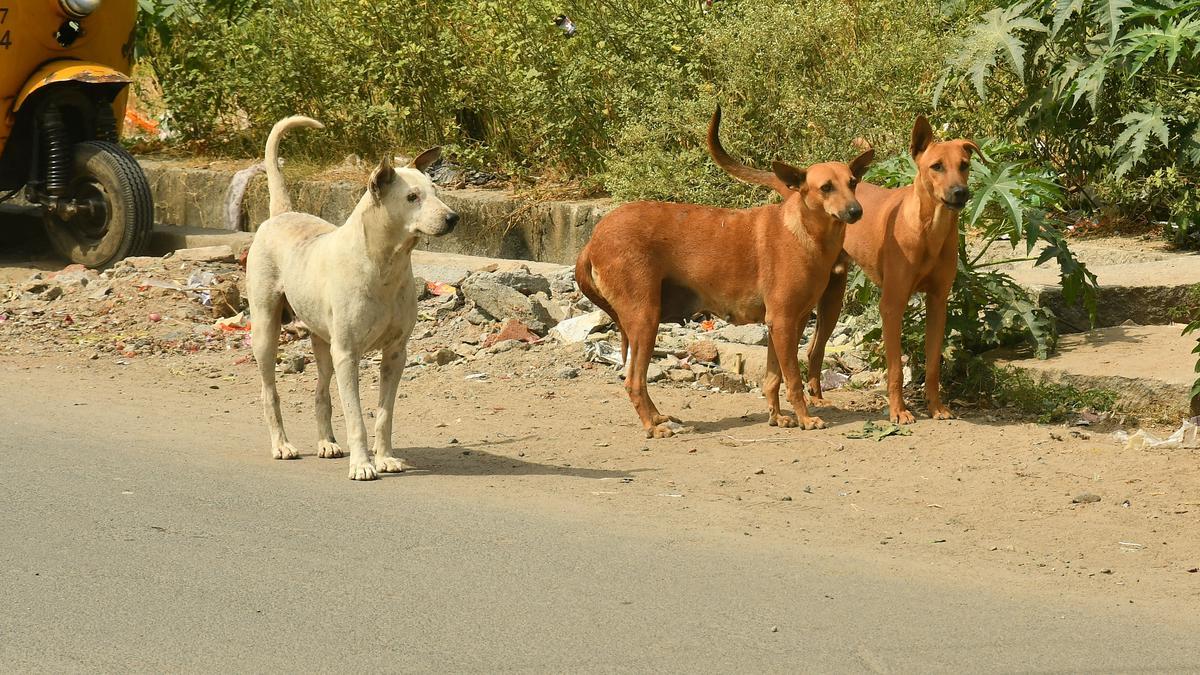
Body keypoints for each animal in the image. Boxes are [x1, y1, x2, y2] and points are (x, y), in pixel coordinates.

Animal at [246, 118, 456, 480]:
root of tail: (281, 214)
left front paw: (385, 457)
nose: (453, 217)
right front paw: (362, 464)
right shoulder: (347, 354)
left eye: (436, 193)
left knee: (321, 392)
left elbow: (384, 414)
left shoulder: (396, 353)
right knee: (269, 391)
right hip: (266, 331)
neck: (384, 264)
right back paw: (282, 445)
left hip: (322, 342)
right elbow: (356, 416)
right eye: (412, 197)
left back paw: (327, 442)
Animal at [573, 106, 873, 437]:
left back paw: (657, 418)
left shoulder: (784, 325)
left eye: (853, 183)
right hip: (644, 318)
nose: (857, 211)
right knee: (634, 381)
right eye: (826, 188)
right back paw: (652, 426)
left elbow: (773, 378)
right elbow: (793, 380)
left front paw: (778, 417)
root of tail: (593, 240)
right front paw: (806, 419)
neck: (805, 232)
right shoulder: (783, 322)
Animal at [801, 115, 979, 420]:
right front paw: (898, 411)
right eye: (937, 166)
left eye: (964, 165)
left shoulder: (938, 303)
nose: (960, 192)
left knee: (815, 348)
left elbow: (933, 365)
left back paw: (817, 397)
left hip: (832, 300)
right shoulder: (892, 306)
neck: (930, 229)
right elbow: (895, 368)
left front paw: (936, 407)